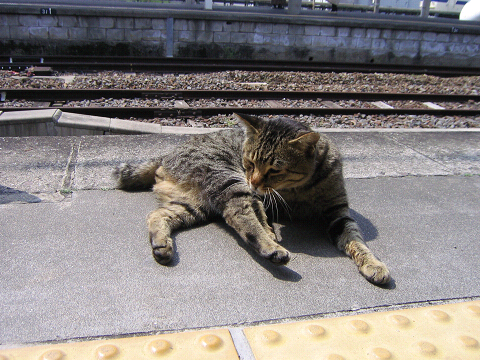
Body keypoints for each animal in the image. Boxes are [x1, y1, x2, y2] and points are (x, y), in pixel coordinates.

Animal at [115, 114, 390, 286]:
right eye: (249, 162)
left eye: (275, 170)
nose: (254, 181)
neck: (300, 189)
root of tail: (164, 156)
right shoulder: (254, 193)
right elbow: (259, 213)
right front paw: (270, 233)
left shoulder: (338, 212)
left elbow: (356, 241)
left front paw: (373, 263)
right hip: (227, 180)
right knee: (240, 216)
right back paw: (272, 249)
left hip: (195, 205)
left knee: (157, 214)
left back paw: (161, 245)